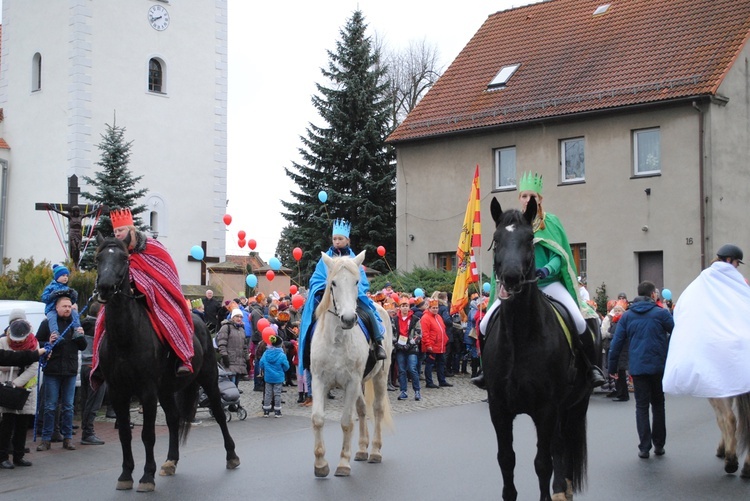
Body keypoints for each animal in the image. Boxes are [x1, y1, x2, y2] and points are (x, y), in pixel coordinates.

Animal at [94, 236, 241, 490]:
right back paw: (171, 461)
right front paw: (126, 474)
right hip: (166, 389)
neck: (125, 338)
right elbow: (124, 433)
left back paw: (231, 456)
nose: (105, 287)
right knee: (173, 419)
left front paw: (146, 476)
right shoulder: (117, 391)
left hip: (208, 379)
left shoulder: (147, 391)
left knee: (219, 414)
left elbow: (148, 435)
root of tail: (201, 323)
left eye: (124, 258)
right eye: (99, 258)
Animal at [310, 250, 394, 476]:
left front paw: (343, 463)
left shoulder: (351, 382)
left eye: (357, 281)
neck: (337, 341)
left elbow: (347, 422)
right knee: (363, 409)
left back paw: (374, 451)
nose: (348, 319)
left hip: (379, 376)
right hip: (361, 383)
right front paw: (320, 464)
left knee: (377, 409)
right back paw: (363, 449)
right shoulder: (319, 381)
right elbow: (318, 418)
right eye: (333, 283)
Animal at [484, 196, 596, 500]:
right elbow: (506, 459)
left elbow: (543, 463)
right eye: (497, 239)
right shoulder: (499, 408)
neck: (519, 337)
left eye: (530, 239)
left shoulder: (546, 409)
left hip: (576, 405)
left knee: (562, 445)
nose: (511, 278)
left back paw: (562, 488)